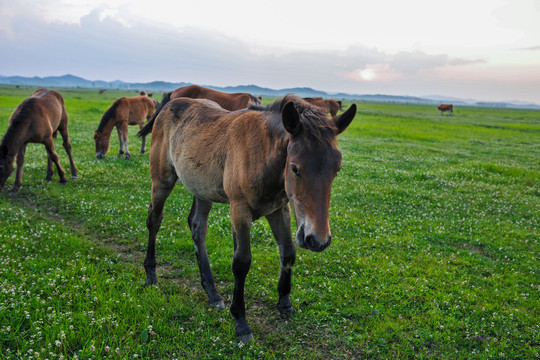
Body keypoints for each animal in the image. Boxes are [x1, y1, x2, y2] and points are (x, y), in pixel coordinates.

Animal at [138, 94, 358, 342]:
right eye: (295, 168)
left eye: (337, 169)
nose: (318, 240)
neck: (262, 154)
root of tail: (170, 103)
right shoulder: (239, 210)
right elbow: (242, 262)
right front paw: (241, 322)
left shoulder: (278, 210)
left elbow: (288, 252)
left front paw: (284, 303)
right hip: (162, 180)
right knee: (155, 220)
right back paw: (151, 275)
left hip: (202, 189)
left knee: (197, 228)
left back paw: (212, 292)